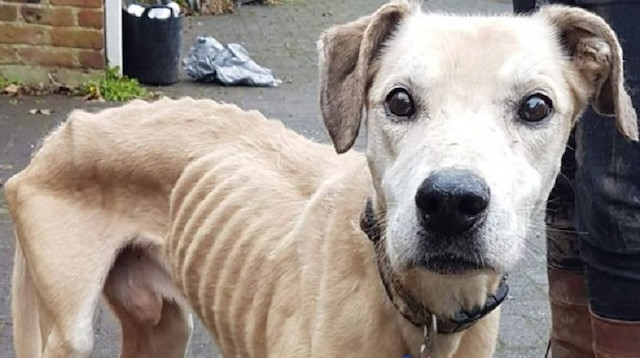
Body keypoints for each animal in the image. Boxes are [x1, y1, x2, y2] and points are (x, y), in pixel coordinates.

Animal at [3, 2, 636, 358]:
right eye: (399, 100)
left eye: (536, 106)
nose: (450, 204)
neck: (420, 312)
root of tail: (59, 135)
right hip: (70, 331)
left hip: (161, 327)